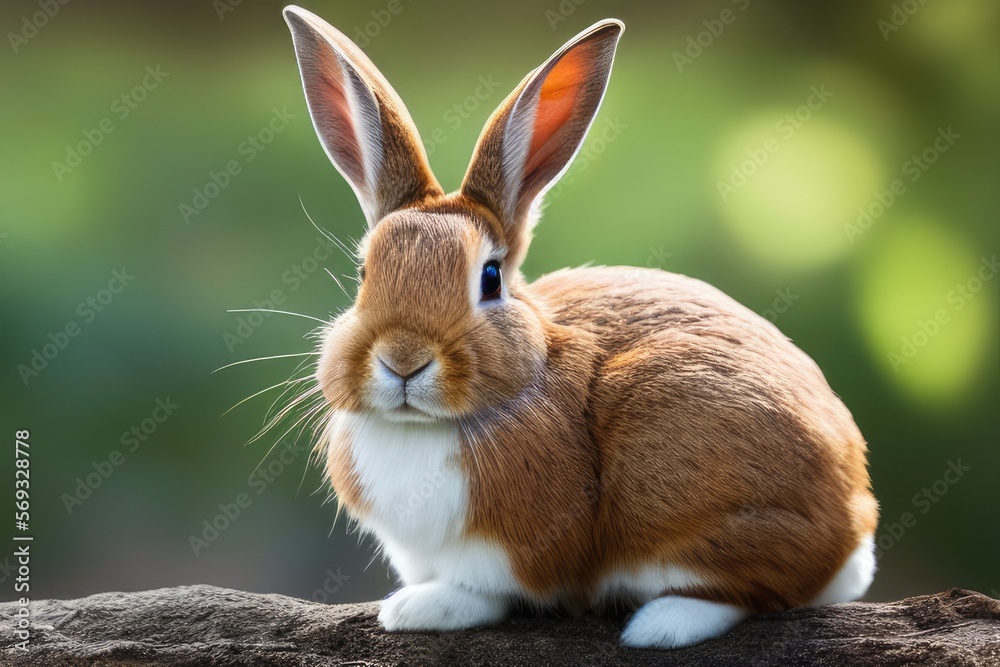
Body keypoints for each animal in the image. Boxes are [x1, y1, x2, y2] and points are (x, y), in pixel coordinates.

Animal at [282, 5, 879, 649]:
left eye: (489, 278)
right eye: (363, 273)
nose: (403, 360)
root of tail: (854, 530)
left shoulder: (513, 555)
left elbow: (486, 593)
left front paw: (420, 608)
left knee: (759, 587)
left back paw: (660, 625)